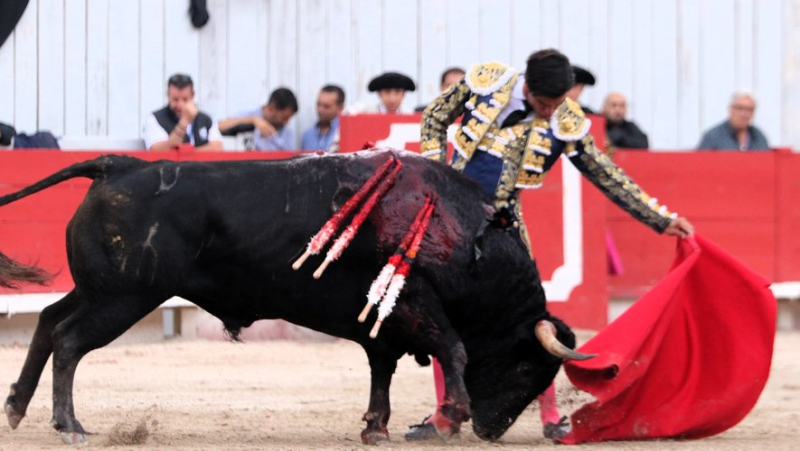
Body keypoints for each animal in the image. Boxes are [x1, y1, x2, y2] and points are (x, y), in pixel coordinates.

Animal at [0, 151, 580, 444]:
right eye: (527, 368)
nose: (490, 429)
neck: (459, 233)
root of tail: (120, 165)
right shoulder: (418, 304)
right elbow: (453, 349)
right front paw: (448, 417)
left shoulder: (384, 326)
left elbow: (382, 369)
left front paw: (377, 427)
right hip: (125, 296)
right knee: (69, 340)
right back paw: (69, 425)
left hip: (99, 289)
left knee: (48, 321)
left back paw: (18, 408)